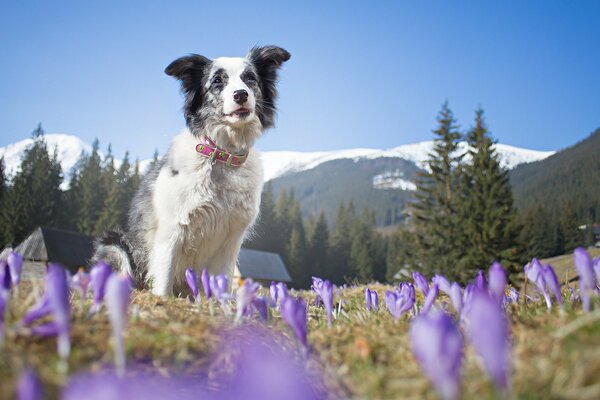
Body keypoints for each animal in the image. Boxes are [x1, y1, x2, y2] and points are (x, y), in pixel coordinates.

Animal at [92, 47, 292, 296]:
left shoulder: (231, 239)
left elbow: (223, 281)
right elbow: (164, 278)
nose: (241, 95)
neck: (222, 154)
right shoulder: (172, 230)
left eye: (250, 78)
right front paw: (162, 299)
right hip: (114, 244)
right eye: (217, 81)